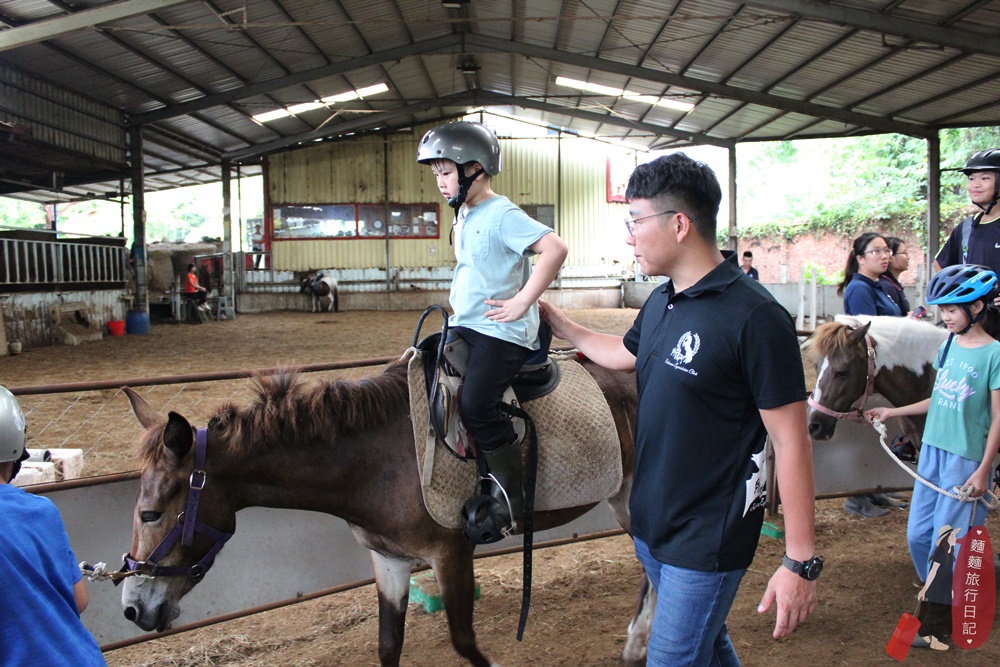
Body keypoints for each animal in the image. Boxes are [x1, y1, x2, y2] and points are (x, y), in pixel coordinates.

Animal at [118, 358, 654, 667]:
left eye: (150, 514)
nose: (132, 607)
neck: (376, 461)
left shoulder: (450, 555)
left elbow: (464, 641)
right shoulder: (389, 560)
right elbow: (388, 645)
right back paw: (634, 645)